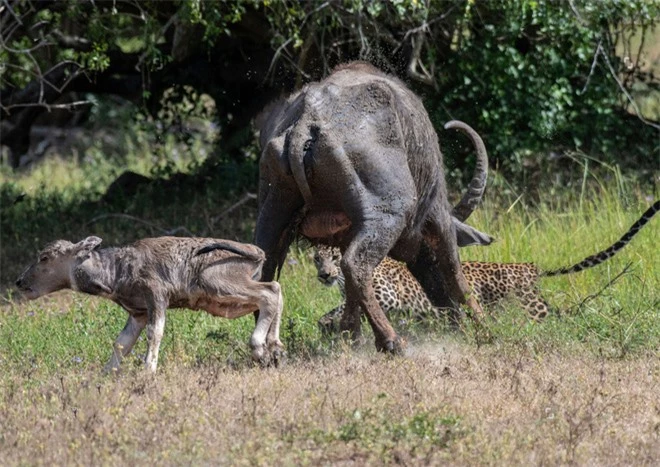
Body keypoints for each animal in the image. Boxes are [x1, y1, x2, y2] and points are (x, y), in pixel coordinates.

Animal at [255, 63, 492, 354]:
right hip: (390, 215)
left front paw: (351, 335)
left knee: (264, 268)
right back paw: (392, 341)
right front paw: (484, 328)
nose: (452, 317)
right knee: (356, 265)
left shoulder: (346, 233)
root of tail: (305, 125)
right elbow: (455, 272)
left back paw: (268, 348)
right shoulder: (437, 218)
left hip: (272, 211)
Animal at [312, 199, 656, 334]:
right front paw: (329, 322)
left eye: (334, 257)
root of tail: (530, 267)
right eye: (318, 257)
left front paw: (330, 321)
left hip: (531, 309)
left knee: (557, 321)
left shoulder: (389, 295)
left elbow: (347, 304)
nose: (324, 274)